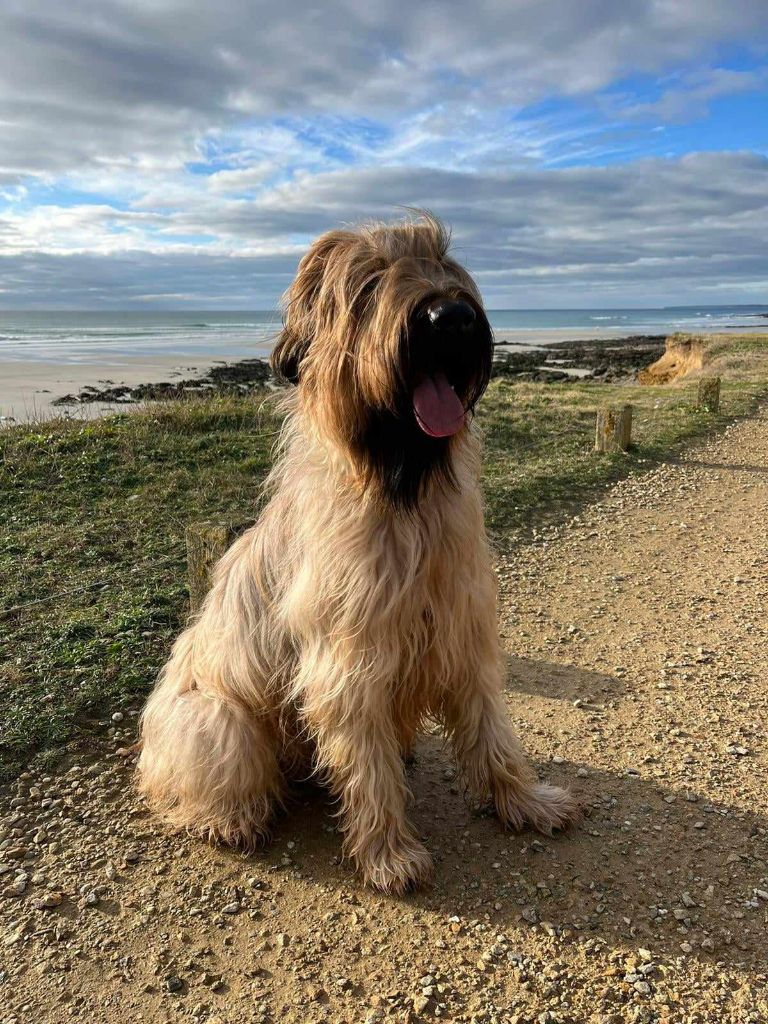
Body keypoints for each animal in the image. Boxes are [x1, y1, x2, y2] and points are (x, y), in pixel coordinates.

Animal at [138, 218, 581, 897]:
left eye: (443, 260)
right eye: (370, 283)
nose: (453, 318)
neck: (402, 493)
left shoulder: (464, 630)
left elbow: (491, 730)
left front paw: (526, 800)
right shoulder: (349, 661)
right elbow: (368, 767)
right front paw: (389, 853)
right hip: (216, 719)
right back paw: (227, 818)